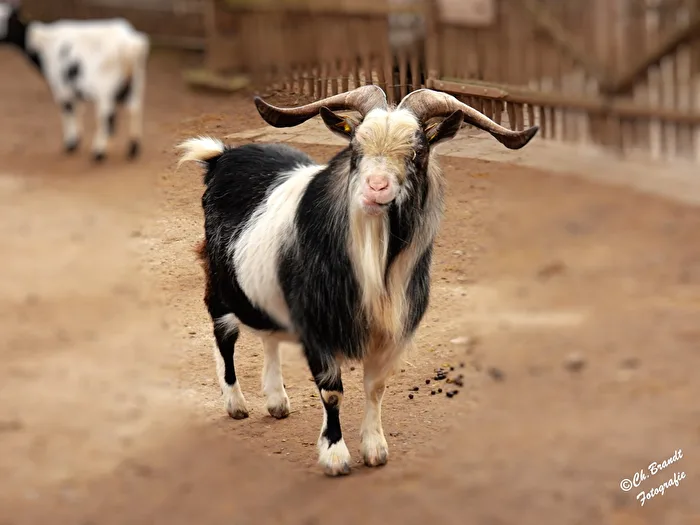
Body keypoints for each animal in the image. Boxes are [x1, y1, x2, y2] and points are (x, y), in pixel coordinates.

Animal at [0, 1, 149, 161]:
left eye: (5, 19)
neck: (42, 43)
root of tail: (130, 43)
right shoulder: (74, 86)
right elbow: (78, 109)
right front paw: (77, 140)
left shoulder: (61, 86)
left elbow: (68, 109)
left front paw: (70, 144)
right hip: (136, 83)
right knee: (134, 110)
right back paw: (133, 148)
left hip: (106, 90)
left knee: (107, 118)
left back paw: (99, 152)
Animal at [177, 86, 539, 476]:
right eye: (355, 148)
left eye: (417, 151)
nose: (376, 187)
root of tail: (221, 157)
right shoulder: (316, 325)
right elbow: (331, 390)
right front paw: (335, 455)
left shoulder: (389, 329)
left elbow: (376, 387)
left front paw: (375, 448)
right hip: (219, 282)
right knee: (224, 335)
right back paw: (235, 403)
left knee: (268, 335)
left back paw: (276, 401)